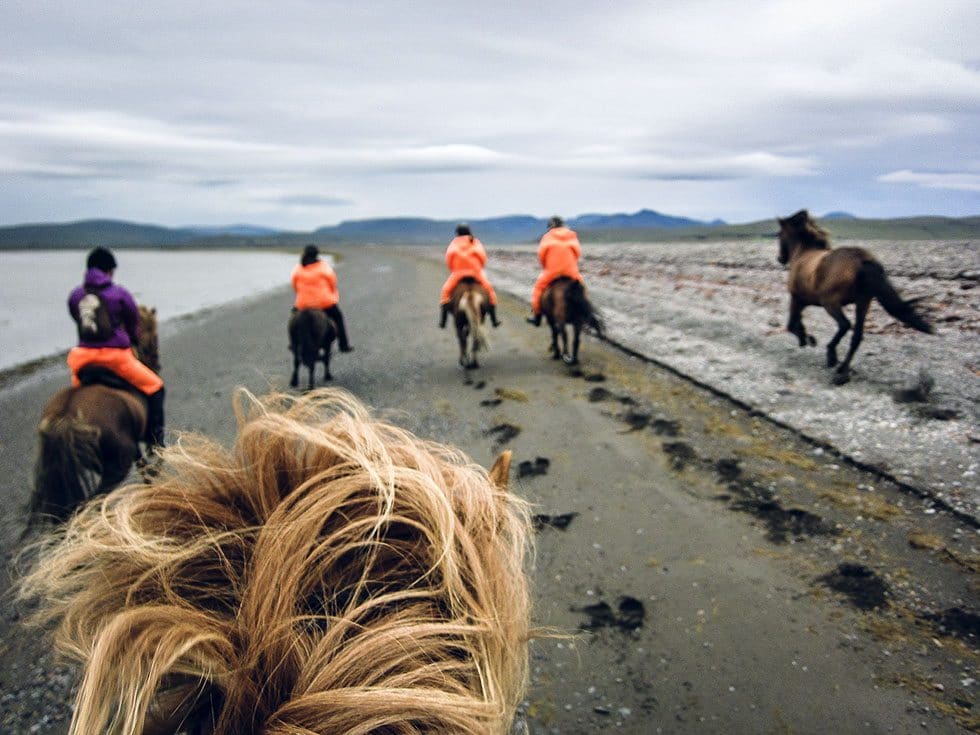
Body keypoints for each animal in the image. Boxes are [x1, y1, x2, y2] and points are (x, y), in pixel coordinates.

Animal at [29, 304, 160, 524]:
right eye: (153, 332)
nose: (156, 364)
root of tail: (65, 416)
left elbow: (143, 467)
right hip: (116, 466)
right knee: (94, 501)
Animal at [776, 210, 932, 386]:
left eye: (779, 235)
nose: (780, 258)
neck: (803, 254)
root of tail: (862, 260)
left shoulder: (796, 298)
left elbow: (790, 325)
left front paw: (806, 339)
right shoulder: (803, 301)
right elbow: (797, 321)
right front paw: (806, 336)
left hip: (831, 303)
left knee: (844, 325)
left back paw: (832, 356)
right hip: (863, 303)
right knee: (856, 336)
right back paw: (842, 370)